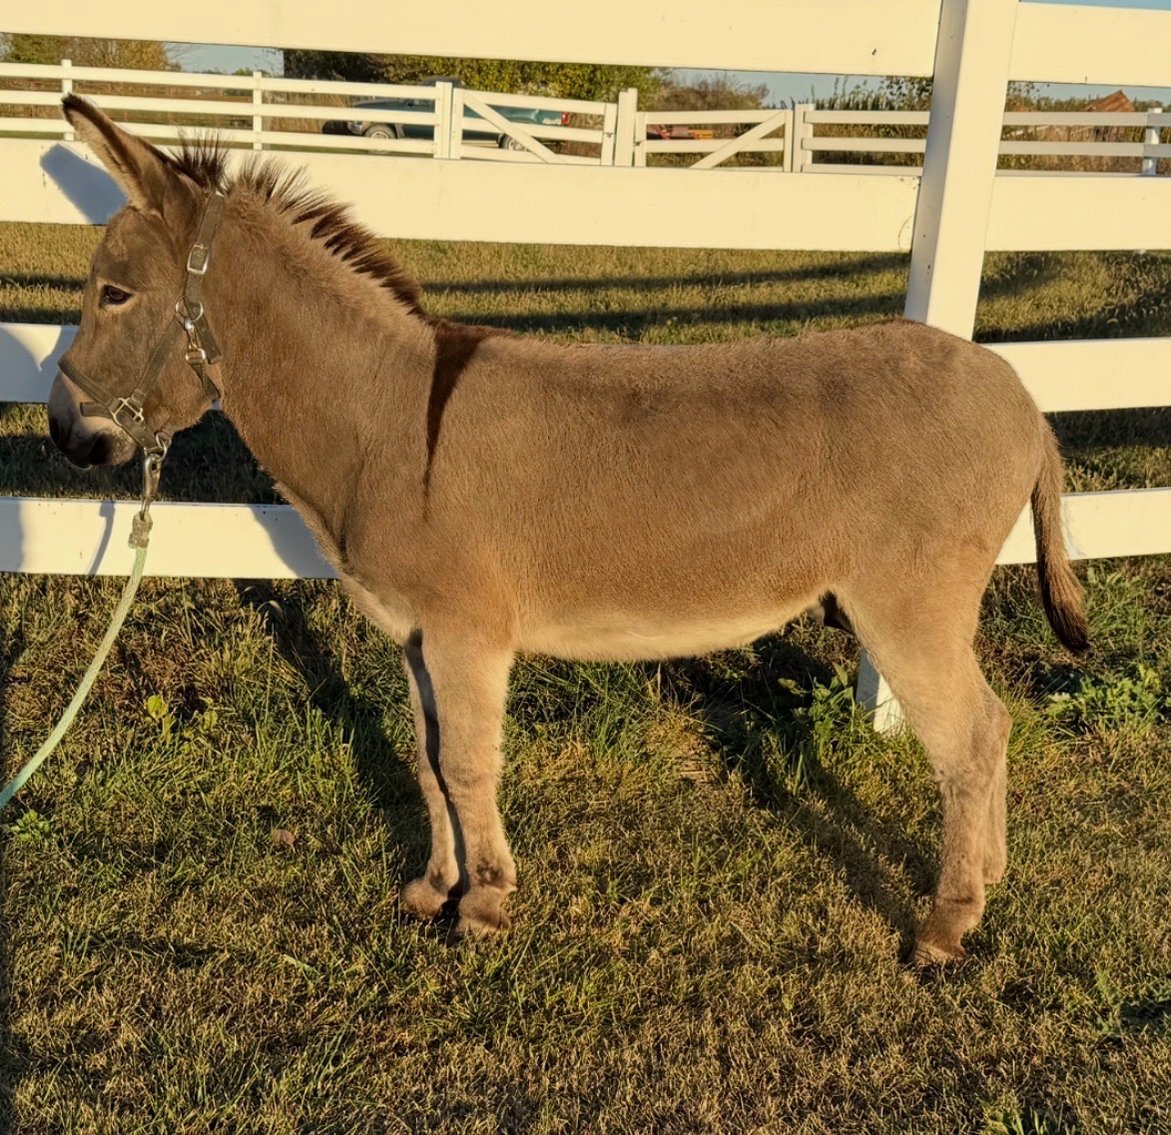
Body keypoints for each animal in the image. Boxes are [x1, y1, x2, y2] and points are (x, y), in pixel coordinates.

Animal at [47, 95, 1087, 964]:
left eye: (112, 294)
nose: (62, 435)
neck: (388, 417)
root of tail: (1022, 395)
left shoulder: (466, 633)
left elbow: (468, 765)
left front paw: (484, 904)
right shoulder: (416, 636)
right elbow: (428, 761)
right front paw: (433, 887)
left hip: (905, 605)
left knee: (970, 739)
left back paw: (945, 925)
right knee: (993, 726)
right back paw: (985, 881)